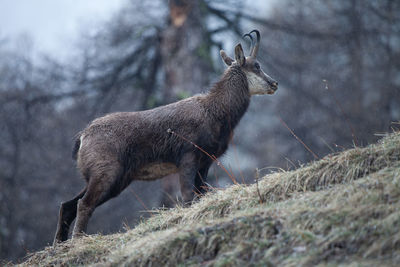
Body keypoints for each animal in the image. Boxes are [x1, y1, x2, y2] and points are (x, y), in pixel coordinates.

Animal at [53, 29, 278, 245]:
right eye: (257, 65)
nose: (274, 83)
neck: (214, 111)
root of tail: (83, 137)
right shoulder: (188, 158)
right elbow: (188, 197)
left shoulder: (204, 163)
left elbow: (201, 194)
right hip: (106, 173)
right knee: (84, 204)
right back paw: (77, 241)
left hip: (115, 179)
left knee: (68, 204)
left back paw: (59, 244)